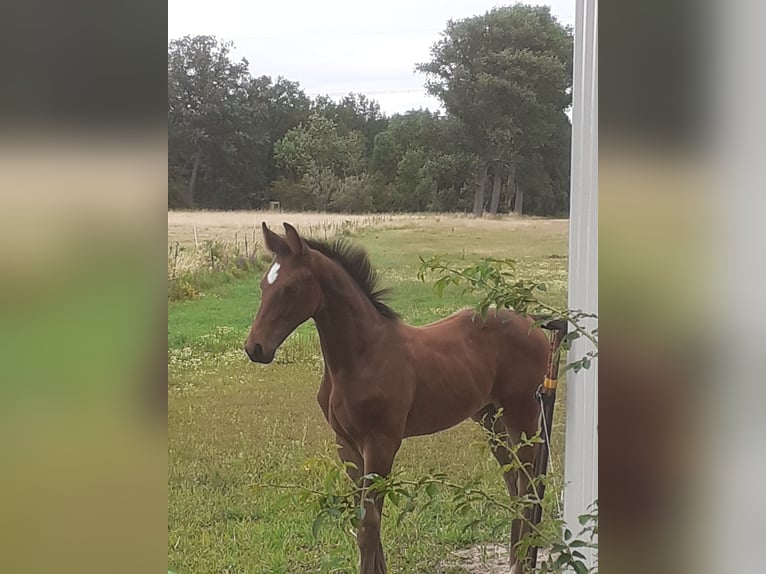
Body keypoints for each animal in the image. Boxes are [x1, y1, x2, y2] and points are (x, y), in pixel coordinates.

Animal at [249, 224, 556, 574]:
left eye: (290, 288)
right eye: (263, 285)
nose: (254, 348)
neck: (361, 355)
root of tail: (532, 325)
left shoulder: (381, 444)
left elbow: (368, 527)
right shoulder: (347, 445)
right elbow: (368, 524)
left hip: (523, 415)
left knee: (528, 487)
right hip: (491, 419)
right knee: (515, 484)